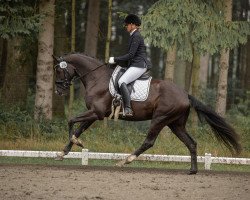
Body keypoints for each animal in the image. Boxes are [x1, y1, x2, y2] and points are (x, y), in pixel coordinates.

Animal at [53, 52, 242, 173]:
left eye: (59, 70)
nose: (58, 91)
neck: (96, 78)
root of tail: (185, 94)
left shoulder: (96, 113)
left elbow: (71, 120)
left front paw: (75, 143)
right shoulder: (94, 113)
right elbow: (79, 128)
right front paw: (65, 151)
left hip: (160, 119)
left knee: (149, 142)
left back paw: (125, 161)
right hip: (175, 124)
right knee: (191, 143)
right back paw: (192, 170)